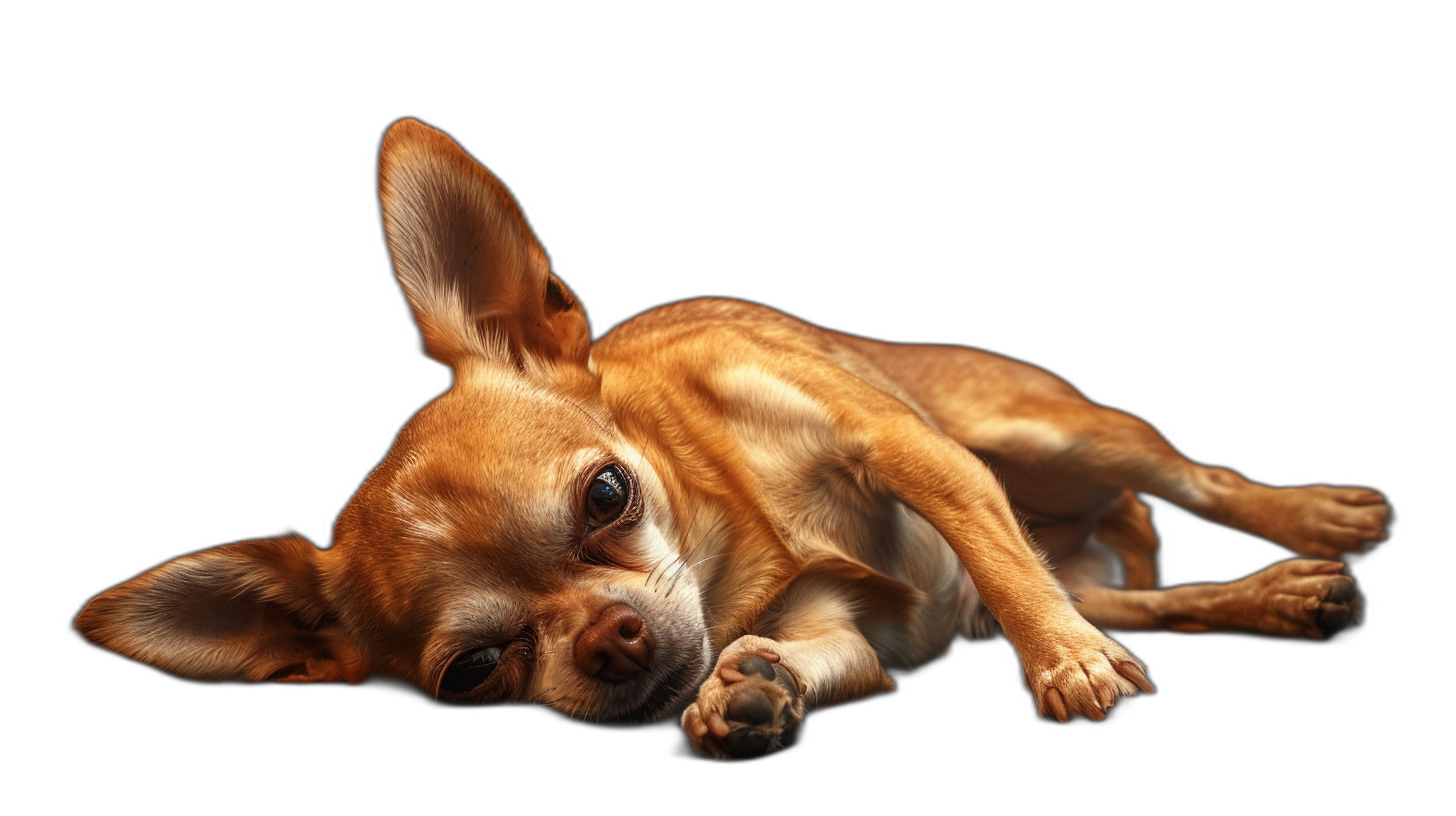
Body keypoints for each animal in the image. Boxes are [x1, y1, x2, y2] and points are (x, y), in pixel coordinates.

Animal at [76, 118, 1386, 763]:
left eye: (607, 496)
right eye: (475, 670)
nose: (606, 639)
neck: (734, 538)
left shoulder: (908, 449)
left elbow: (995, 551)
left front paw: (1059, 667)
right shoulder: (834, 631)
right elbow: (811, 656)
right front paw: (745, 698)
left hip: (1052, 435)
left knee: (1184, 483)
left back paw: (1310, 519)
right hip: (1064, 545)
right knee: (1133, 597)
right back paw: (1280, 597)